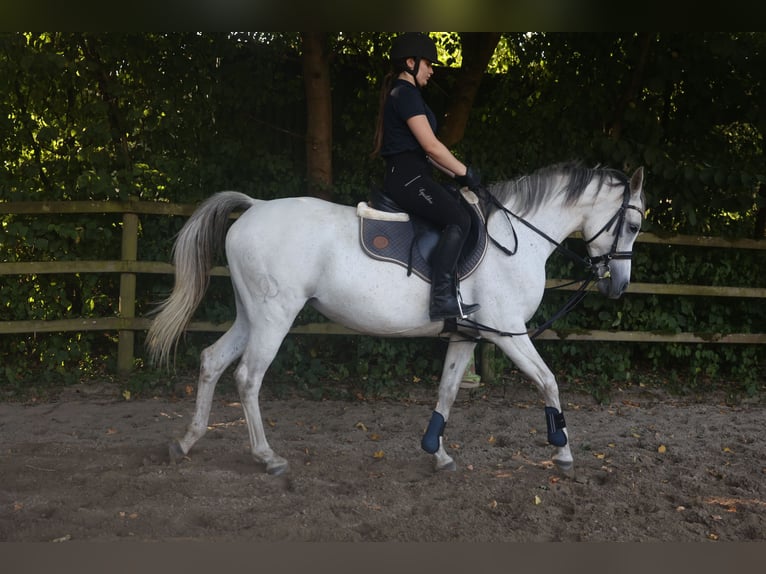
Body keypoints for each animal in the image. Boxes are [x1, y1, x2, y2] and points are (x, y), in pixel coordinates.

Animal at [147, 161, 644, 476]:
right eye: (634, 225)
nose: (618, 285)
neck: (516, 237)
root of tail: (254, 206)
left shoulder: (469, 335)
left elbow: (447, 391)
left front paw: (436, 453)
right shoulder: (509, 334)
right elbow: (548, 381)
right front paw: (562, 453)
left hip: (251, 313)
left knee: (212, 361)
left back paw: (185, 442)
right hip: (274, 315)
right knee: (249, 377)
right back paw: (266, 457)